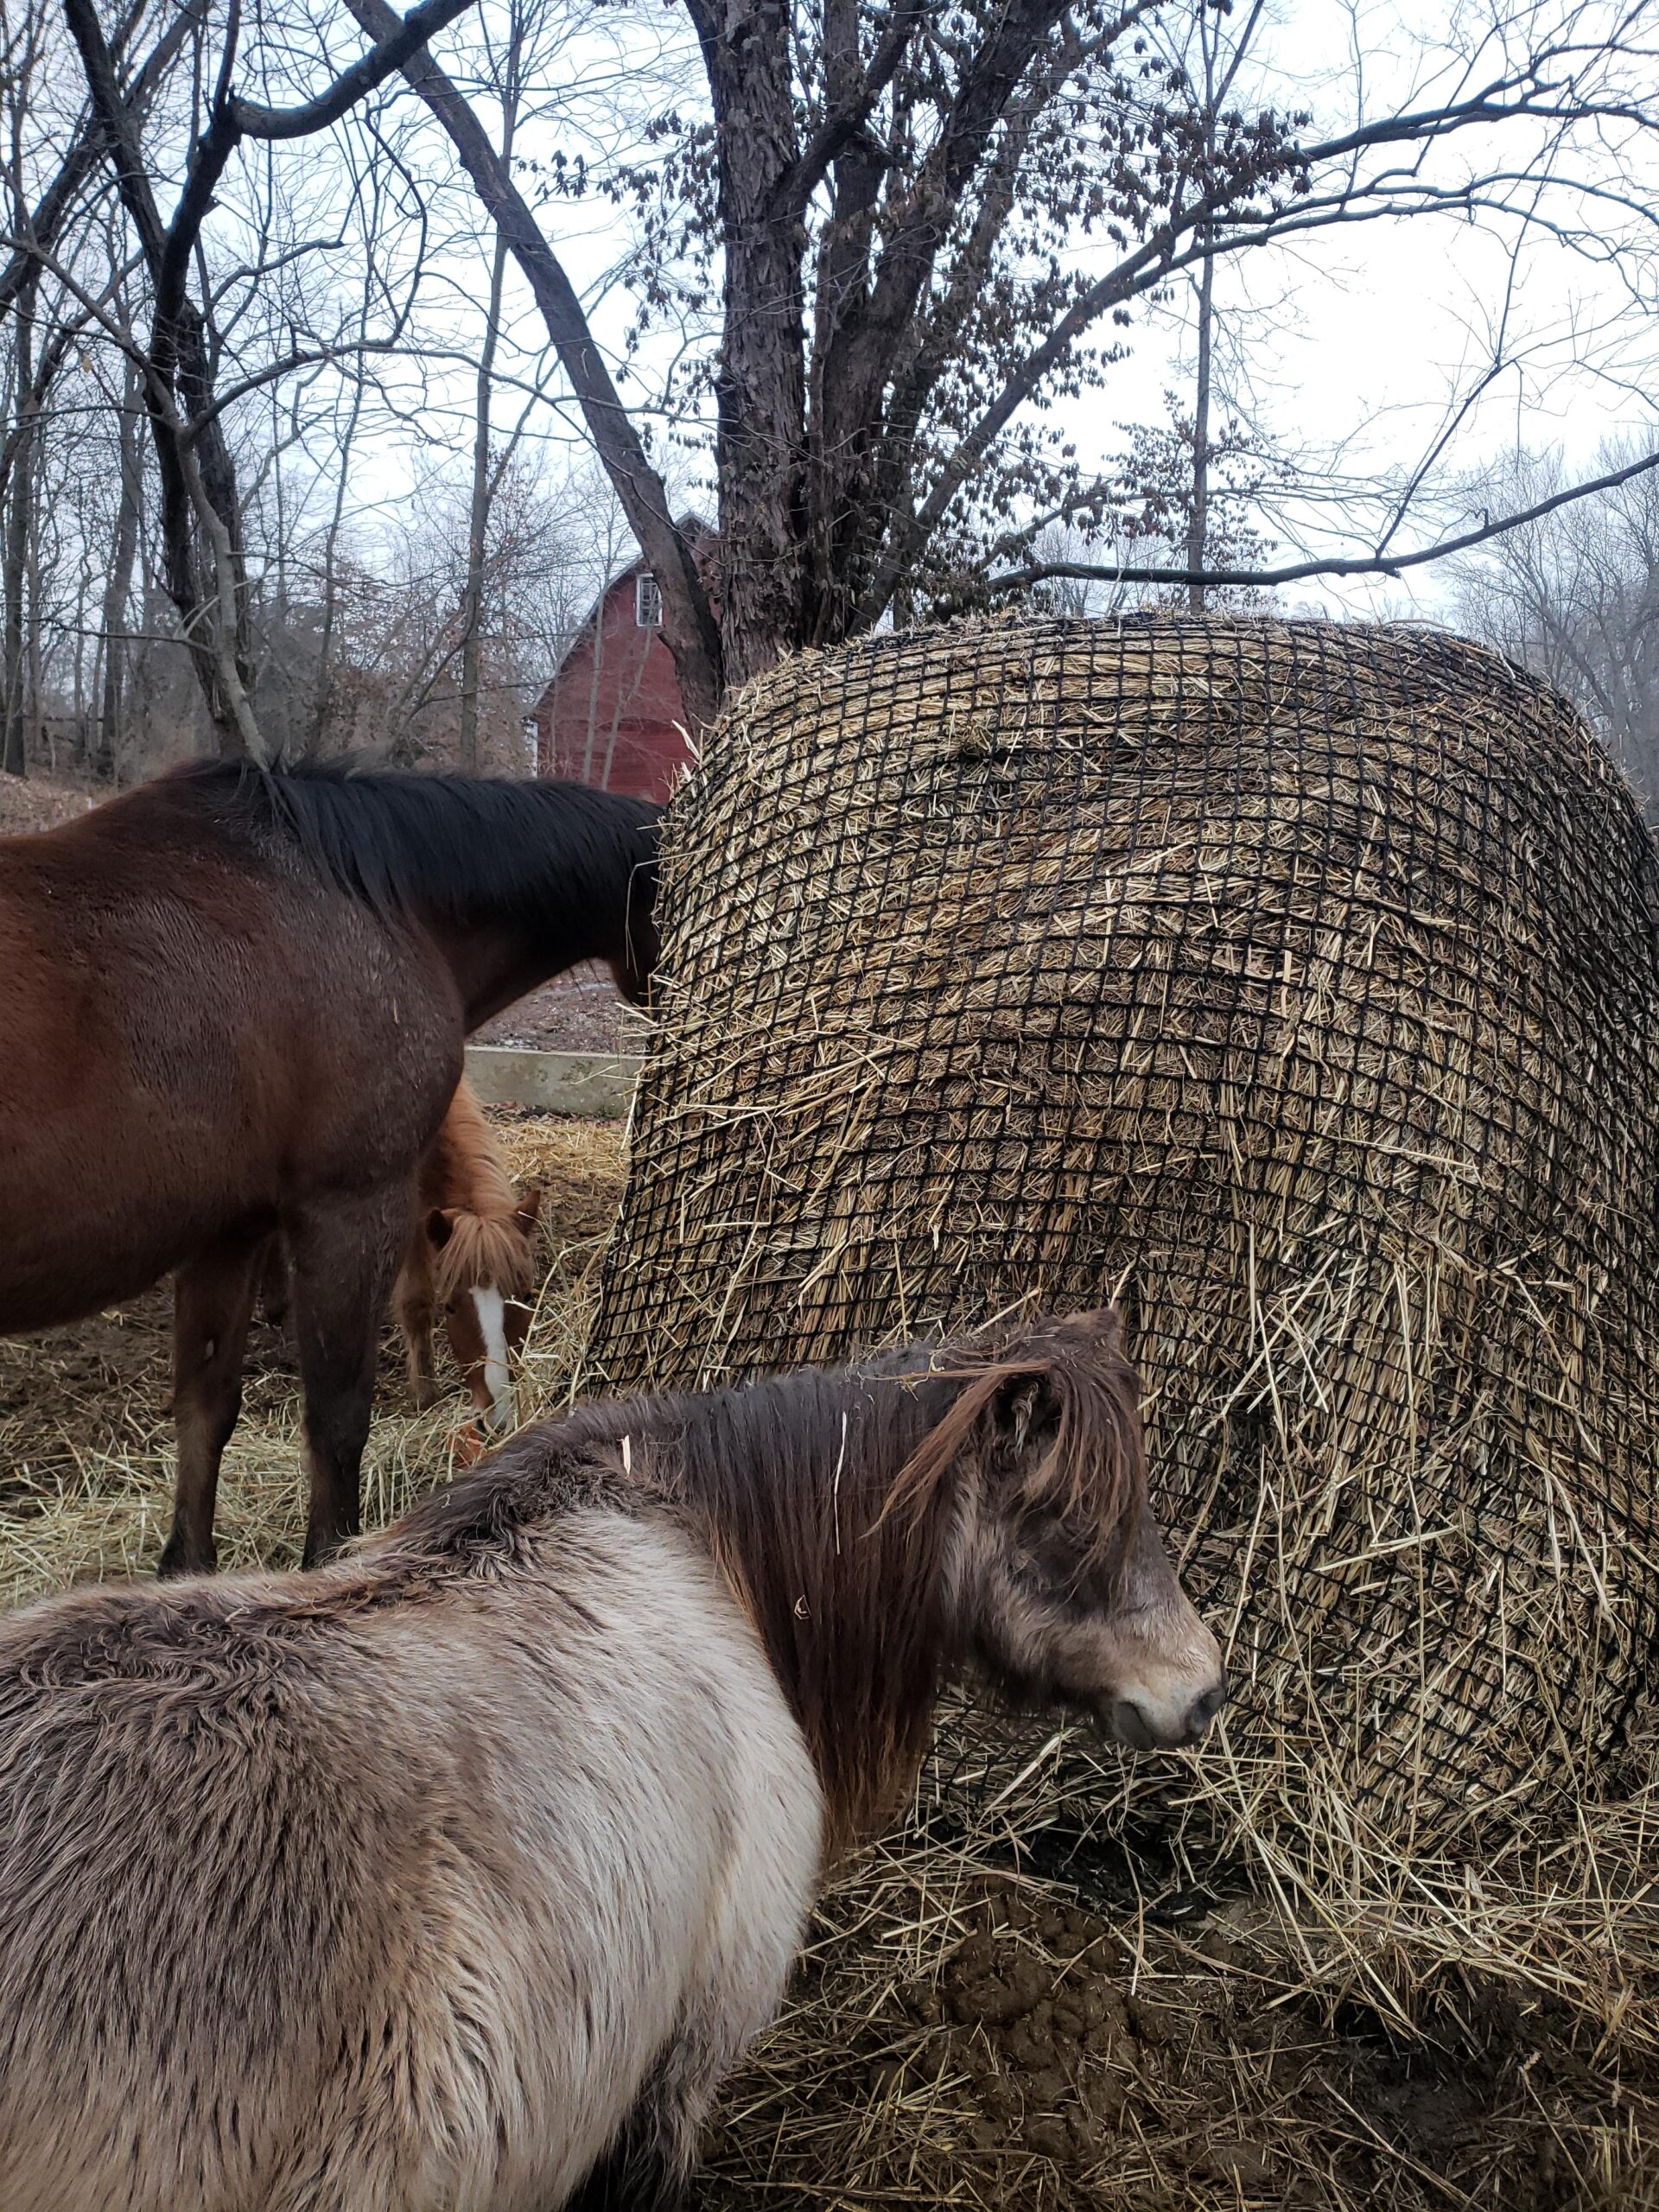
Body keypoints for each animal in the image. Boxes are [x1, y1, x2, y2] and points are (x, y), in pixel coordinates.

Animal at [0, 760, 659, 1573]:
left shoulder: (230, 1232)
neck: (372, 905)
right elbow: (338, 1420)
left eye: (528, 1297)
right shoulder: (352, 1208)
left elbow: (205, 1413)